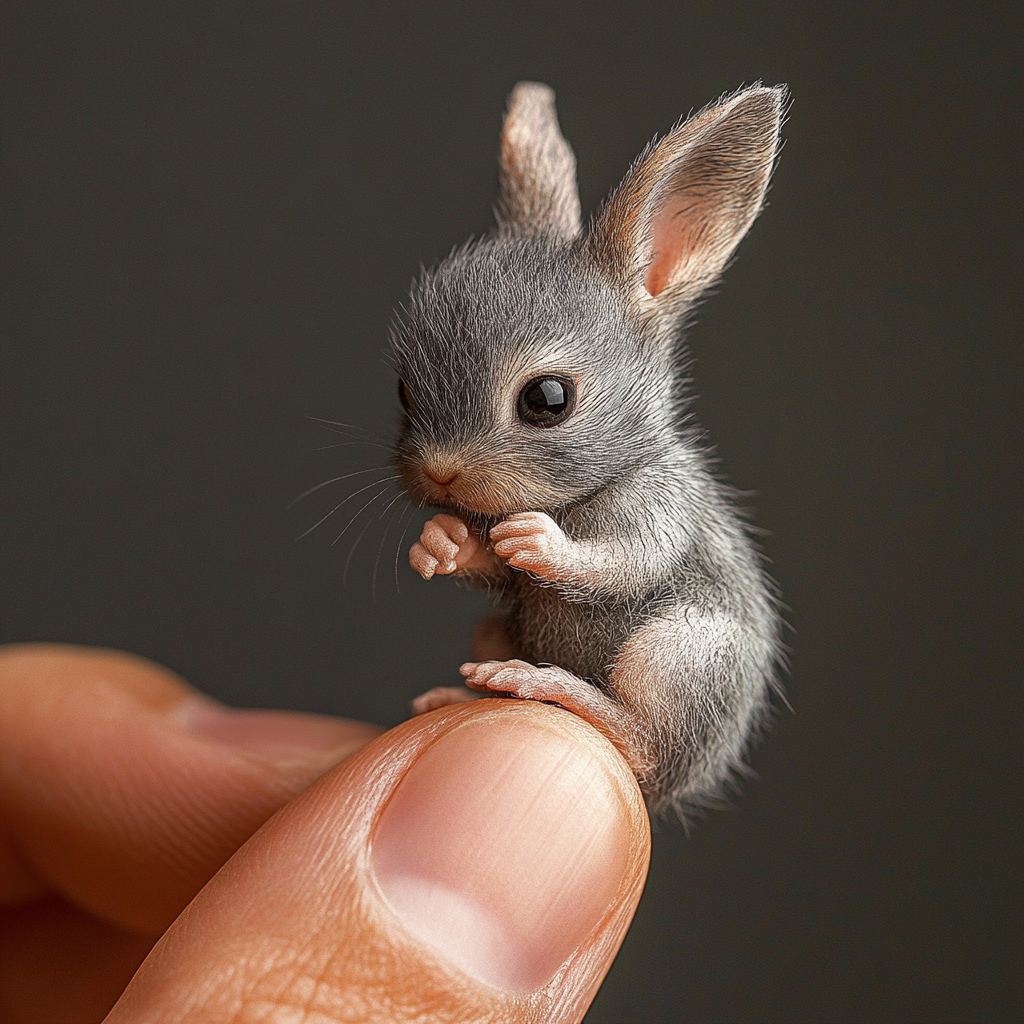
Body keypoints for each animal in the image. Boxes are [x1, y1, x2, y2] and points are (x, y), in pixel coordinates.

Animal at [391, 81, 782, 815]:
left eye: (547, 400)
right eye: (402, 390)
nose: (441, 475)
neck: (587, 491)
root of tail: (682, 785)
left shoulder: (661, 505)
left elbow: (625, 562)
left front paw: (540, 542)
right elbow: (494, 571)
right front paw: (442, 544)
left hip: (681, 653)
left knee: (641, 744)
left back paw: (553, 688)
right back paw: (465, 690)